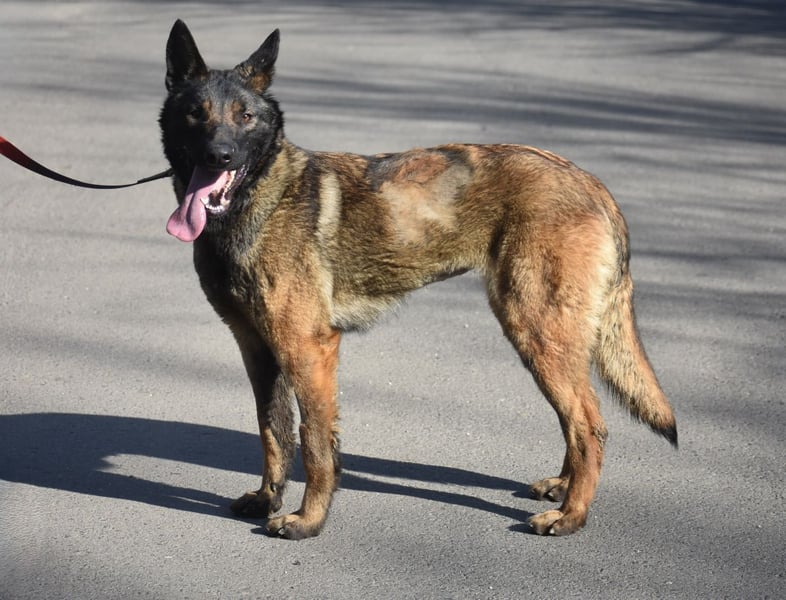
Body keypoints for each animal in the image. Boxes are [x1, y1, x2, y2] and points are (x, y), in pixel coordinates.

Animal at [159, 20, 677, 539]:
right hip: (551, 341)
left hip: (536, 332)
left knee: (589, 426)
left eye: (245, 117)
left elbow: (315, 443)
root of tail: (588, 180)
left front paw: (310, 519)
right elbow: (273, 431)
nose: (219, 155)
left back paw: (572, 515)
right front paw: (268, 499)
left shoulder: (308, 348)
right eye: (195, 114)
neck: (257, 197)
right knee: (578, 421)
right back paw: (563, 489)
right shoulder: (258, 349)